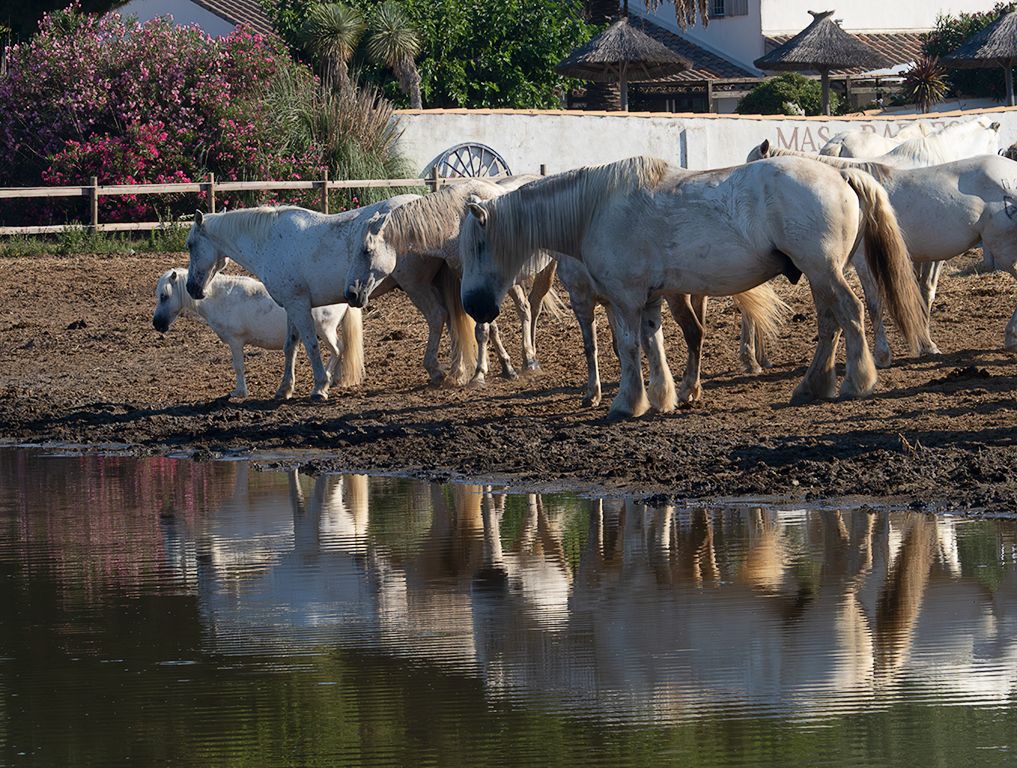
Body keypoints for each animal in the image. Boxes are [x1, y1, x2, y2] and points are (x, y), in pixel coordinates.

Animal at [153, 268, 363, 398]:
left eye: (164, 296)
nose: (157, 324)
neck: (221, 298)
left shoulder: (235, 342)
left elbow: (238, 366)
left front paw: (239, 392)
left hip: (325, 331)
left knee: (338, 350)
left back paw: (324, 381)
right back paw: (333, 380)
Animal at [185, 198, 422, 400]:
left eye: (190, 244)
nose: (191, 288)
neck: (270, 241)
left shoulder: (299, 306)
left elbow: (310, 345)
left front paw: (319, 387)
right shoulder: (291, 305)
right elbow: (290, 346)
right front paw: (284, 389)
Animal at [458, 155, 926, 420]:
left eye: (478, 245)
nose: (474, 306)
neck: (595, 209)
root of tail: (842, 174)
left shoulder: (625, 299)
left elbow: (629, 348)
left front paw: (626, 403)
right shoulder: (649, 299)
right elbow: (655, 345)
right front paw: (664, 396)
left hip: (825, 271)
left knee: (851, 313)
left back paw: (855, 383)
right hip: (817, 275)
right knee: (830, 323)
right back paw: (812, 386)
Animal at [750, 144, 1017, 365]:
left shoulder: (865, 263)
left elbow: (875, 303)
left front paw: (882, 355)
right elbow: (920, 297)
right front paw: (926, 345)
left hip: (1004, 250)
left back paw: (1010, 336)